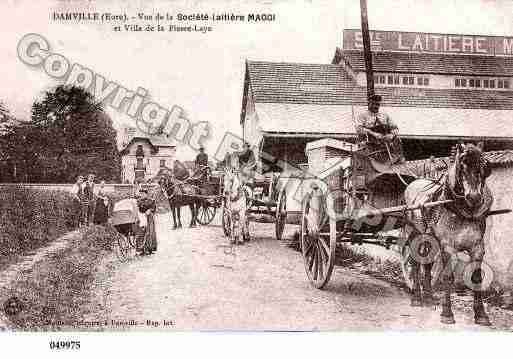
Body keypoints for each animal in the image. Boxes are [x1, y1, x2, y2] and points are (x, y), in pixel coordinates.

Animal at [404, 143, 492, 326]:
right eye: (461, 166)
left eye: (484, 166)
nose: (474, 197)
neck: (463, 211)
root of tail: (414, 182)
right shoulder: (448, 247)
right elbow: (447, 277)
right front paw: (447, 313)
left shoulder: (477, 247)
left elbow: (476, 278)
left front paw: (481, 314)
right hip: (414, 233)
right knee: (414, 263)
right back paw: (416, 297)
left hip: (429, 238)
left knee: (427, 264)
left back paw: (428, 297)